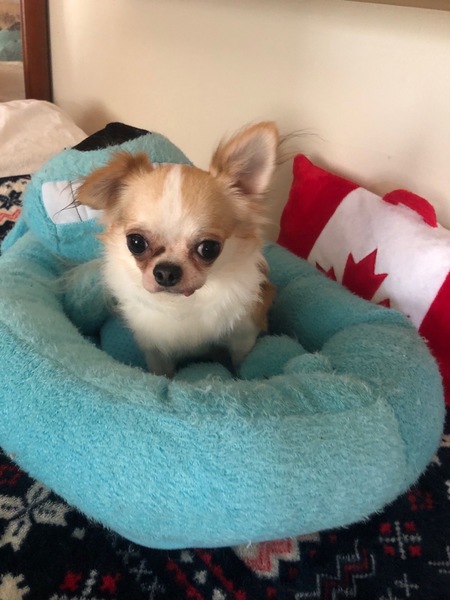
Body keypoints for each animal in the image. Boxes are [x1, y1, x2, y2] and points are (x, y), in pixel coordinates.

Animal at [76, 121, 279, 376]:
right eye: (136, 242)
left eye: (209, 248)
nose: (166, 272)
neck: (181, 303)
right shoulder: (154, 348)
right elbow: (162, 371)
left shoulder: (243, 334)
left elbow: (239, 361)